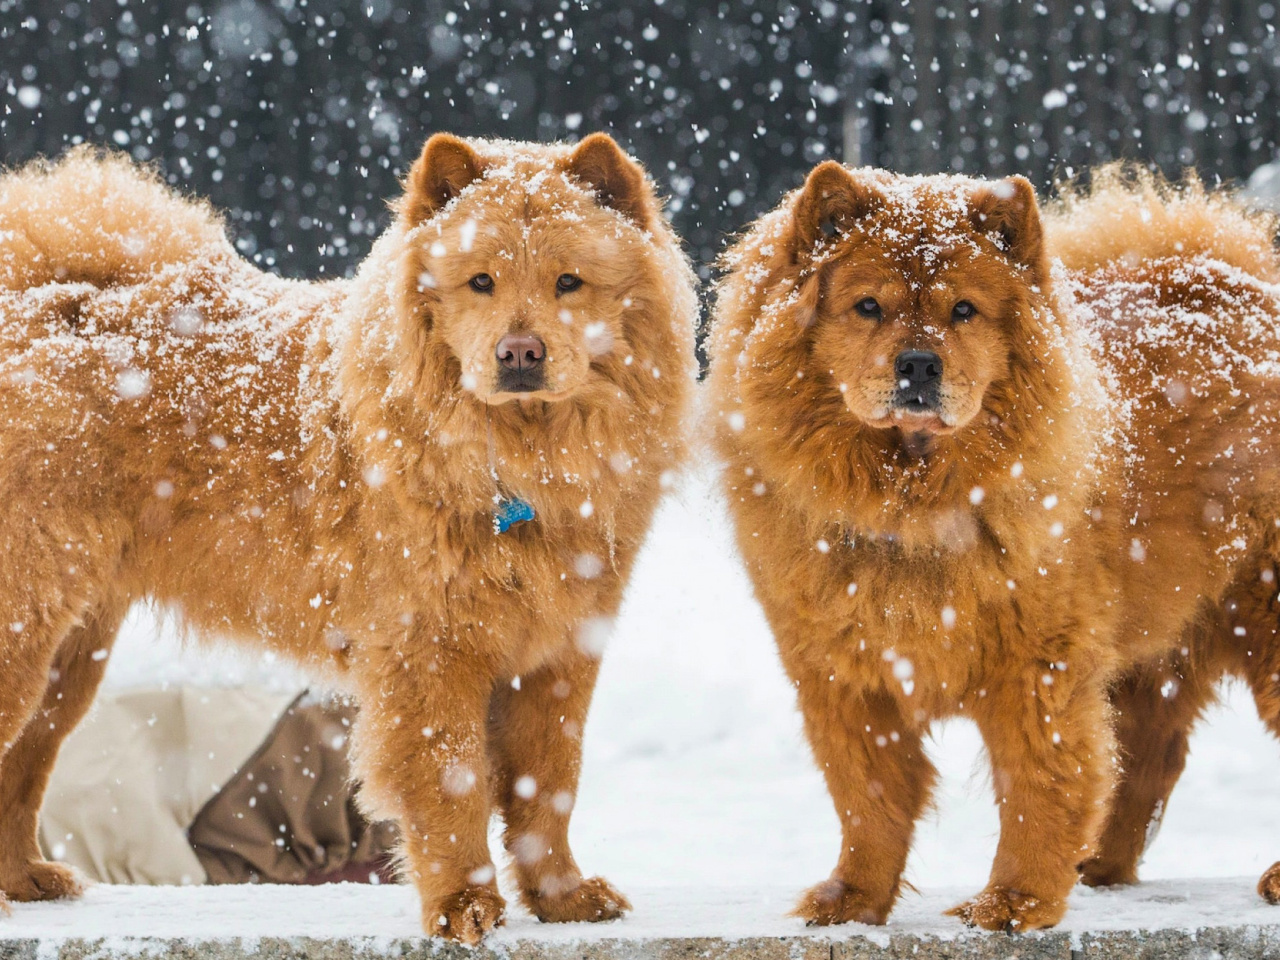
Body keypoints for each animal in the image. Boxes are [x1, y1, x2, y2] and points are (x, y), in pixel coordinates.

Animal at [0, 135, 701, 947]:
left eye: (569, 282)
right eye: (481, 282)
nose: (520, 352)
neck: (518, 463)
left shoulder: (560, 652)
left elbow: (547, 786)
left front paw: (563, 898)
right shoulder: (429, 650)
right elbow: (453, 785)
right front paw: (463, 908)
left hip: (71, 658)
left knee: (25, 765)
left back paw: (26, 880)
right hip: (28, 632)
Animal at [711, 163, 1280, 931]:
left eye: (964, 311)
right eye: (867, 307)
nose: (918, 365)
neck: (913, 500)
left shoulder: (1037, 667)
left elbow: (1040, 786)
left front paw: (1014, 902)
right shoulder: (841, 672)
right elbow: (868, 794)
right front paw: (852, 899)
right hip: (1152, 648)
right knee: (1149, 758)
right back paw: (1100, 867)